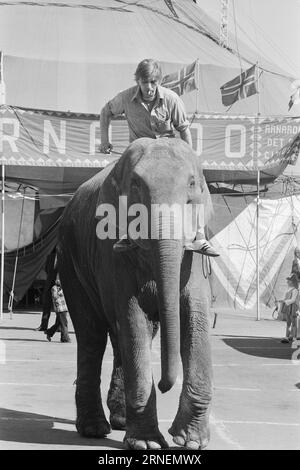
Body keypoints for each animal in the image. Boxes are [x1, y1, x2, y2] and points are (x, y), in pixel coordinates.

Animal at [57, 138, 213, 450]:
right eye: (136, 185)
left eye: (192, 184)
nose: (164, 385)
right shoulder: (112, 252)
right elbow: (132, 317)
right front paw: (147, 444)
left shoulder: (194, 255)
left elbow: (195, 316)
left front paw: (190, 442)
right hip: (70, 259)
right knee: (92, 334)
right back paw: (94, 429)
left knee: (121, 338)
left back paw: (120, 421)